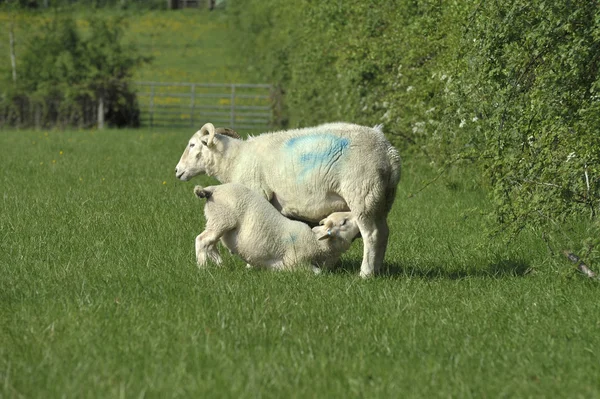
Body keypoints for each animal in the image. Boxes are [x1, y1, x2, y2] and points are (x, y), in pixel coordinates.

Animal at [195, 184, 358, 272]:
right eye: (344, 222)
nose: (358, 215)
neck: (317, 244)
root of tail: (212, 189)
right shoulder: (293, 263)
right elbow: (317, 273)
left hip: (217, 221)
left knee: (211, 244)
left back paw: (219, 265)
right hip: (222, 219)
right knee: (202, 240)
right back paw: (203, 267)